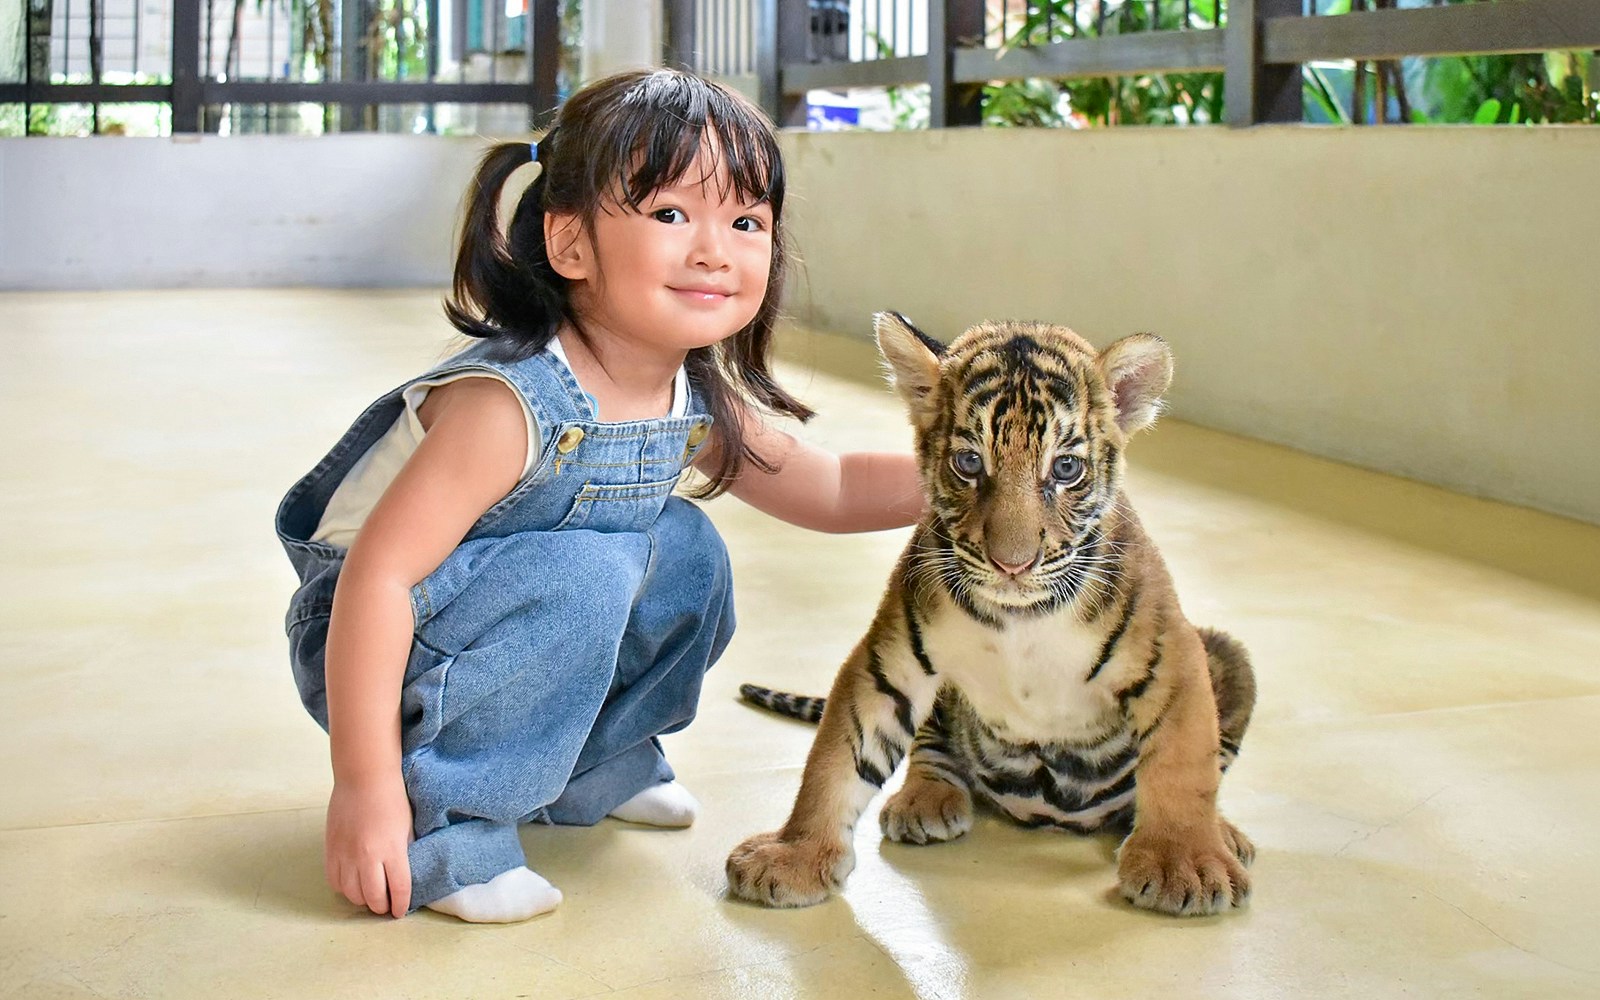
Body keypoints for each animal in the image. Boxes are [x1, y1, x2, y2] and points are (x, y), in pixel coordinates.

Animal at [725, 312, 1257, 917]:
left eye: (1065, 468)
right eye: (969, 463)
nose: (1012, 563)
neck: (1021, 615)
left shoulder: (1172, 658)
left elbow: (1183, 763)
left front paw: (1184, 864)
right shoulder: (890, 658)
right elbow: (837, 757)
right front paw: (794, 854)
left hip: (1228, 654)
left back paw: (1225, 834)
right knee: (930, 746)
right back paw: (924, 800)